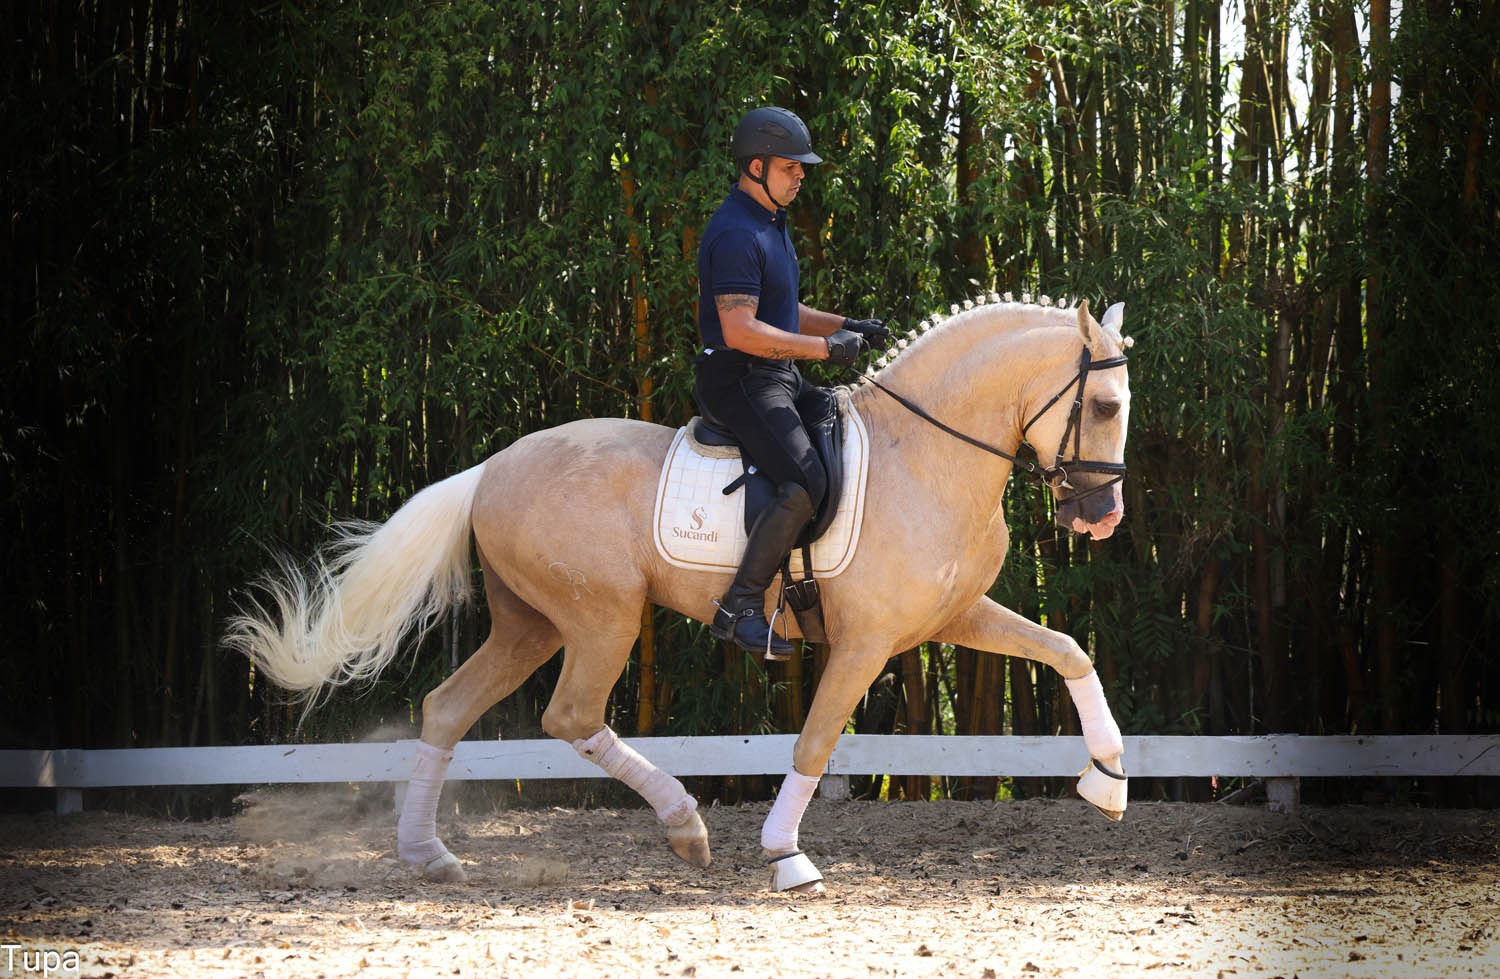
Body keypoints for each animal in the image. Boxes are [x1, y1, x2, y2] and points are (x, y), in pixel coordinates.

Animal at [228, 295, 1128, 893]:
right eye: (1106, 403)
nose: (1103, 517)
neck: (927, 453)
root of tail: (490, 468)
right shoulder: (865, 643)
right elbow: (814, 741)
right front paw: (786, 853)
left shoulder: (953, 616)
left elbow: (1068, 649)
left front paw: (1108, 779)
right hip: (602, 617)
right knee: (571, 715)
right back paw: (684, 825)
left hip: (531, 625)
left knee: (448, 707)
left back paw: (429, 855)